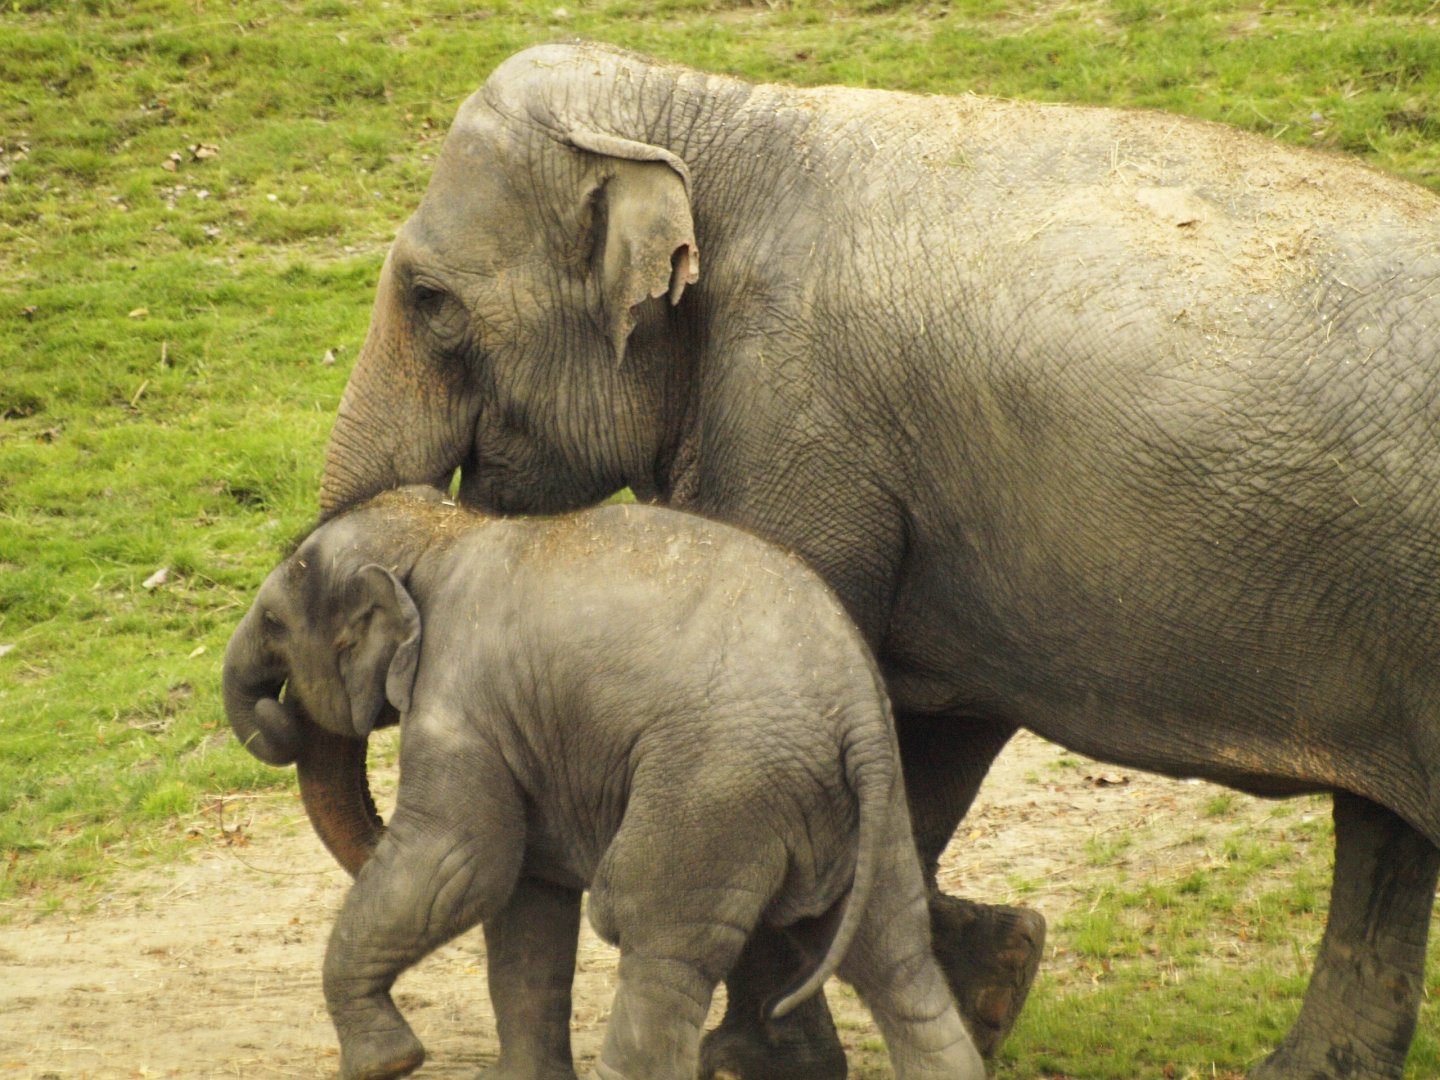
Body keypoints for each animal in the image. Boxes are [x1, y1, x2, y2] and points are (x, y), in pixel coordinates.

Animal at [223, 486, 983, 1080]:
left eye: (274, 624)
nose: (279, 709)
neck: (445, 527)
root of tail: (856, 711)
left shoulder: (458, 698)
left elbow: (459, 863)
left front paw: (385, 1064)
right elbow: (528, 897)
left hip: (714, 792)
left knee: (652, 938)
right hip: (864, 810)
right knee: (894, 954)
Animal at [313, 41, 1440, 1080]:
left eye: (430, 300)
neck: (710, 109)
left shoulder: (797, 420)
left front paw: (761, 1058)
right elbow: (926, 739)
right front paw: (998, 976)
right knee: (1385, 838)